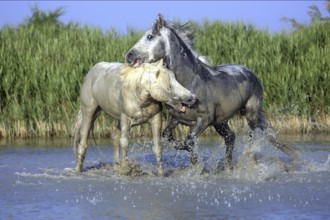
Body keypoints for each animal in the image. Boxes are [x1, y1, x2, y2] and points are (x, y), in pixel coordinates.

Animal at [125, 15, 298, 168]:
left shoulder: (204, 120)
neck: (190, 82)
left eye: (150, 36)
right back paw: (228, 167)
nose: (129, 55)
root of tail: (250, 72)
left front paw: (196, 163)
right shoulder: (176, 118)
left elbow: (188, 141)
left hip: (250, 113)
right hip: (221, 121)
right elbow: (168, 136)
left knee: (252, 135)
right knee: (231, 137)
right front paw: (194, 161)